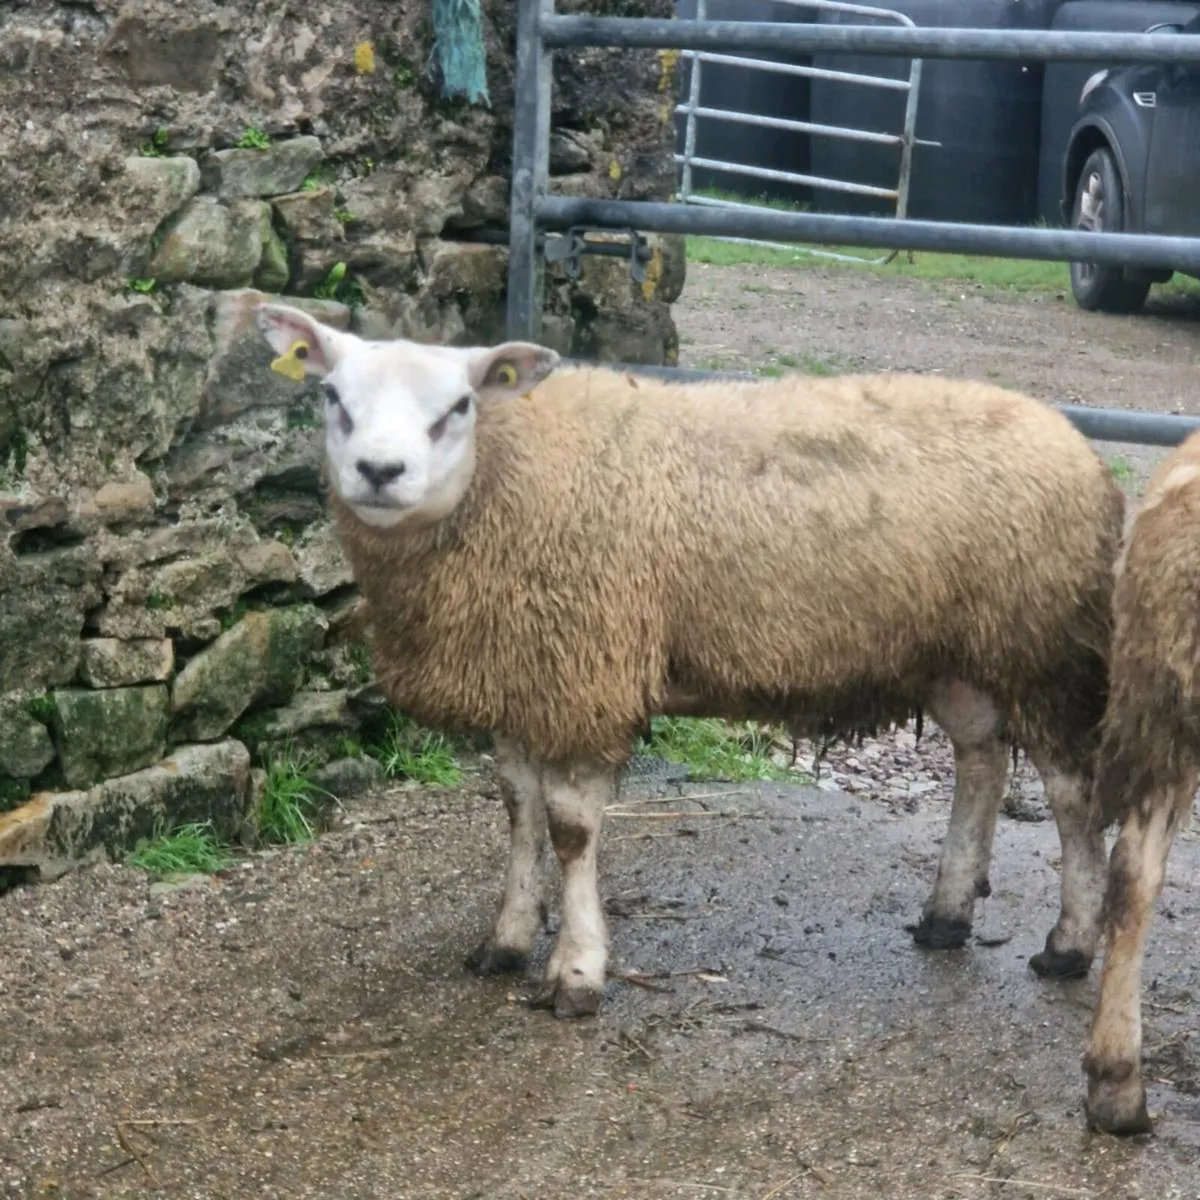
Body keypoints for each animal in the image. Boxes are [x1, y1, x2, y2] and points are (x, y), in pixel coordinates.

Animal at [253, 302, 1125, 1019]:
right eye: (332, 397)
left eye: (458, 406)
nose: (379, 472)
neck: (505, 479)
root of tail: (1080, 449)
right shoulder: (525, 674)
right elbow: (518, 813)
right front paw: (506, 939)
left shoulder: (586, 673)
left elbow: (570, 830)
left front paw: (577, 973)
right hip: (958, 651)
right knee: (981, 759)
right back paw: (946, 915)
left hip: (1042, 646)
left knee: (1073, 793)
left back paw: (1069, 944)